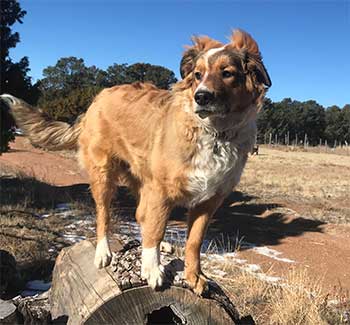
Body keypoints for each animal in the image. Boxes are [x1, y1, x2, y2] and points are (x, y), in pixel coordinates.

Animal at [0, 29, 270, 294]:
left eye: (227, 73)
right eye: (198, 74)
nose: (201, 96)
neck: (214, 134)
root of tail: (97, 98)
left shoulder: (208, 200)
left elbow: (193, 242)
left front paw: (194, 276)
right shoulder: (161, 192)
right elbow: (156, 230)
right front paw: (152, 269)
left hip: (141, 179)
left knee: (141, 215)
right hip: (104, 176)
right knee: (104, 215)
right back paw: (104, 252)